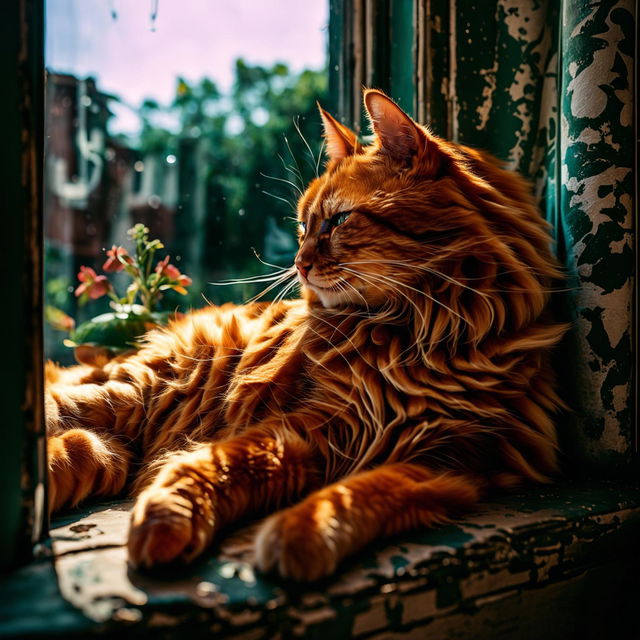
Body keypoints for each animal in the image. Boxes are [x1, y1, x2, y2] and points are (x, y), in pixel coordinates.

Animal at [45, 91, 564, 584]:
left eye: (338, 221)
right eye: (303, 225)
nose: (299, 263)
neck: (410, 336)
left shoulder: (451, 458)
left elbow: (363, 491)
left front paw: (305, 531)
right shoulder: (303, 425)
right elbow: (216, 463)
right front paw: (168, 519)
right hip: (129, 393)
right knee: (61, 407)